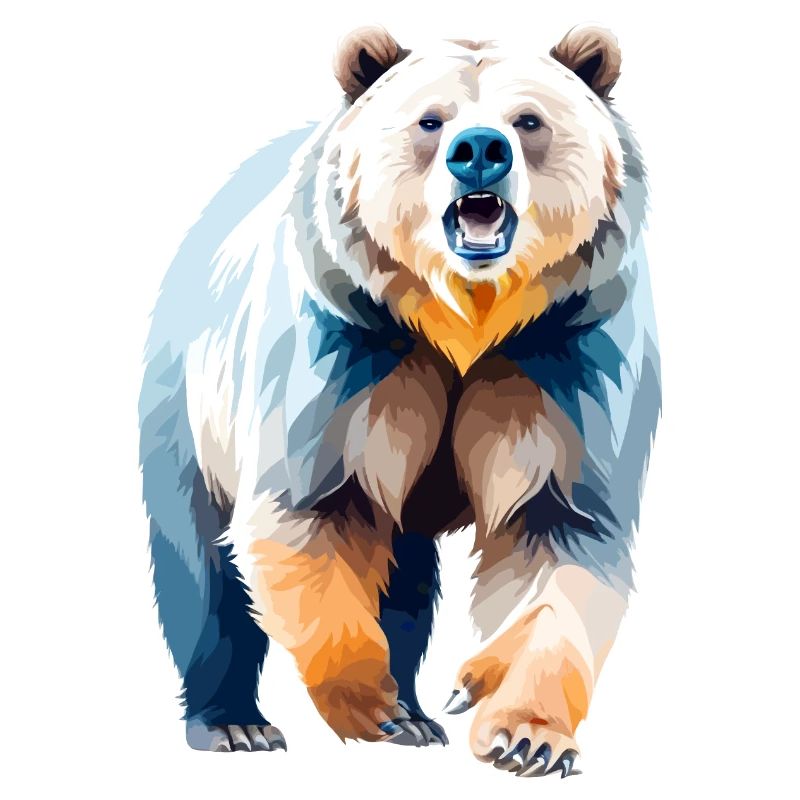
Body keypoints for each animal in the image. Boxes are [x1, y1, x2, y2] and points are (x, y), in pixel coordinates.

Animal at [139, 23, 660, 777]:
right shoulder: (352, 354)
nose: (480, 152)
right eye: (431, 120)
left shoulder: (560, 362)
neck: (465, 322)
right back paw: (235, 721)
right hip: (190, 404)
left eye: (528, 120)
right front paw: (372, 706)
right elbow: (310, 513)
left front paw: (524, 734)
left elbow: (561, 540)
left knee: (408, 580)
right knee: (202, 566)